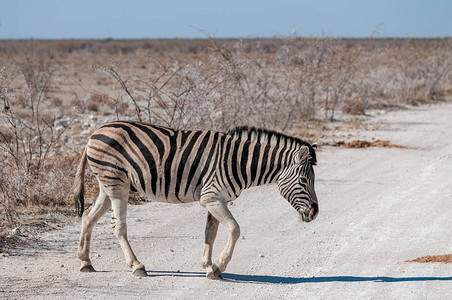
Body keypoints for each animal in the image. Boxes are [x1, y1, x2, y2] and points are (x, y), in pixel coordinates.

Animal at [73, 120, 318, 278]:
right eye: (304, 181)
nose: (315, 213)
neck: (239, 162)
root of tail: (95, 133)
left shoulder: (216, 198)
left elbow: (211, 232)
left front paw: (208, 266)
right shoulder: (211, 197)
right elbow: (234, 229)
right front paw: (219, 266)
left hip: (109, 185)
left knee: (88, 216)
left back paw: (85, 262)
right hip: (116, 184)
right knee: (119, 227)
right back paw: (137, 266)